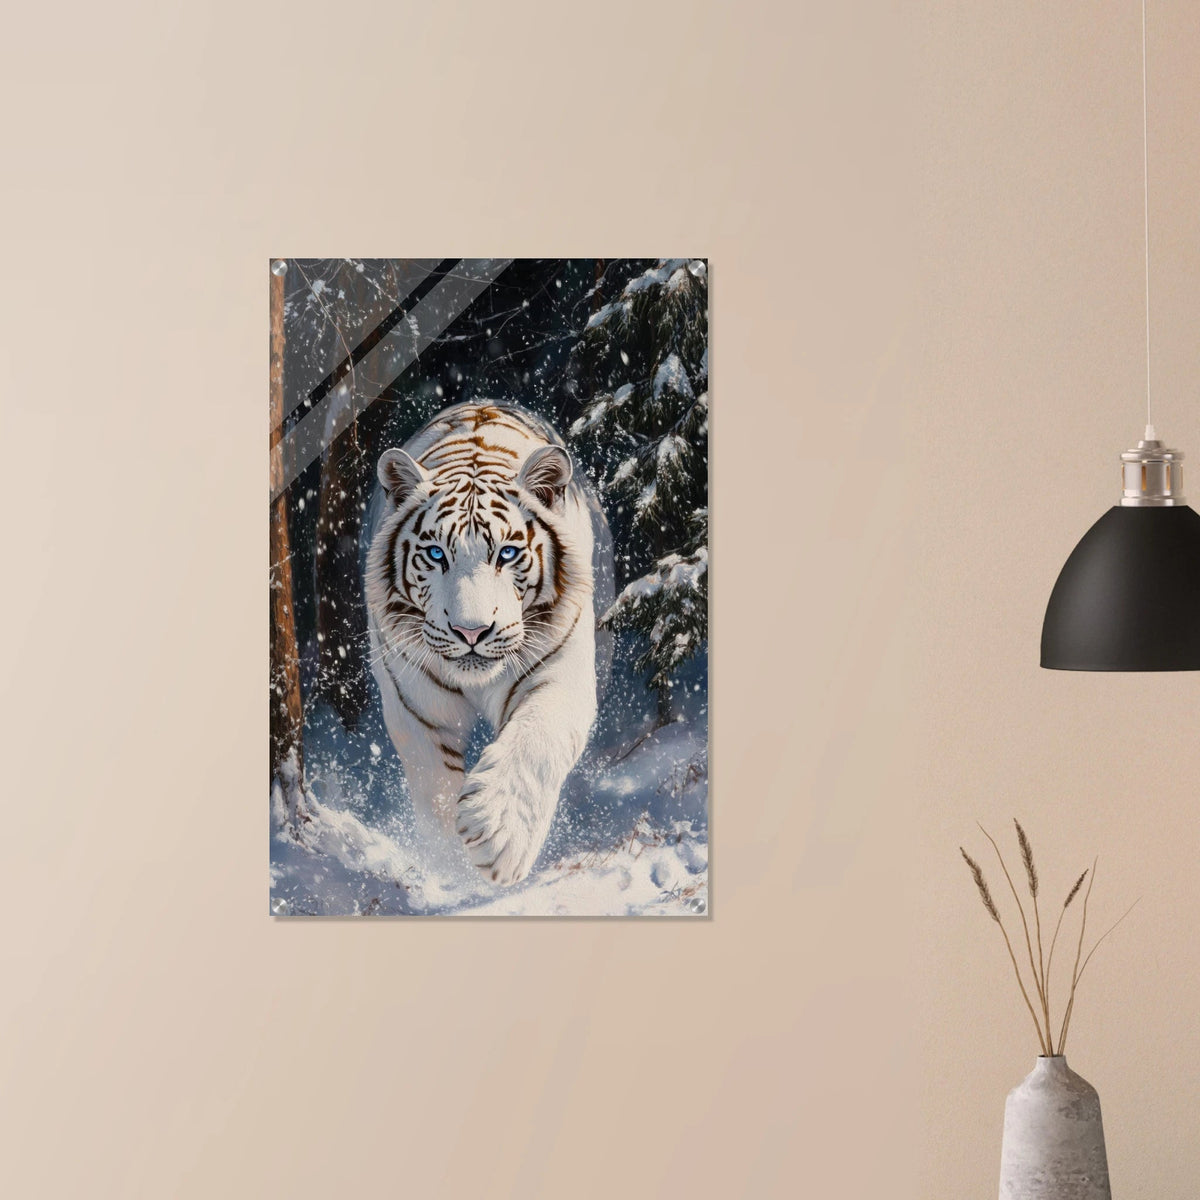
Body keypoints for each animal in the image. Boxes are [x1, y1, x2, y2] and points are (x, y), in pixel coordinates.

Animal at [364, 402, 606, 886]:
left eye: (507, 554)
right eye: (436, 554)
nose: (471, 632)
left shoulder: (560, 674)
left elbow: (537, 741)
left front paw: (498, 834)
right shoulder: (414, 704)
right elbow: (433, 786)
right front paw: (453, 867)